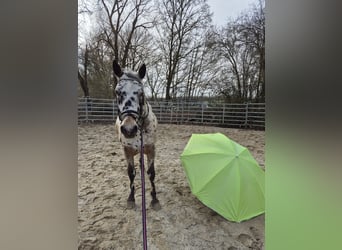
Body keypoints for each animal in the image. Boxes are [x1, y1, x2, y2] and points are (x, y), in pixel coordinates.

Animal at [113, 60, 160, 209]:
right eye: (117, 92)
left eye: (141, 92)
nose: (129, 129)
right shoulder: (127, 151)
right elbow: (131, 173)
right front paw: (131, 198)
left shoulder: (151, 149)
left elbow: (151, 173)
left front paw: (154, 199)